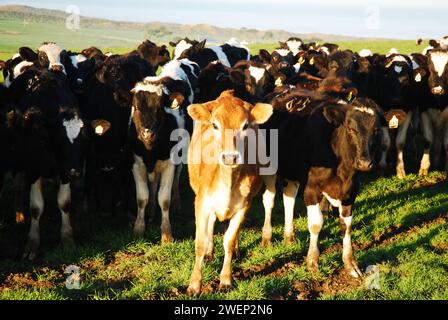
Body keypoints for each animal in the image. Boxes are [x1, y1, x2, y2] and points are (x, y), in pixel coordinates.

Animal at [186, 90, 272, 296]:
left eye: (246, 125)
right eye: (215, 125)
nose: (230, 157)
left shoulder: (244, 205)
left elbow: (229, 241)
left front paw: (225, 279)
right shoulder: (201, 203)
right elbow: (200, 243)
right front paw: (194, 284)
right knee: (210, 226)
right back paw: (210, 252)